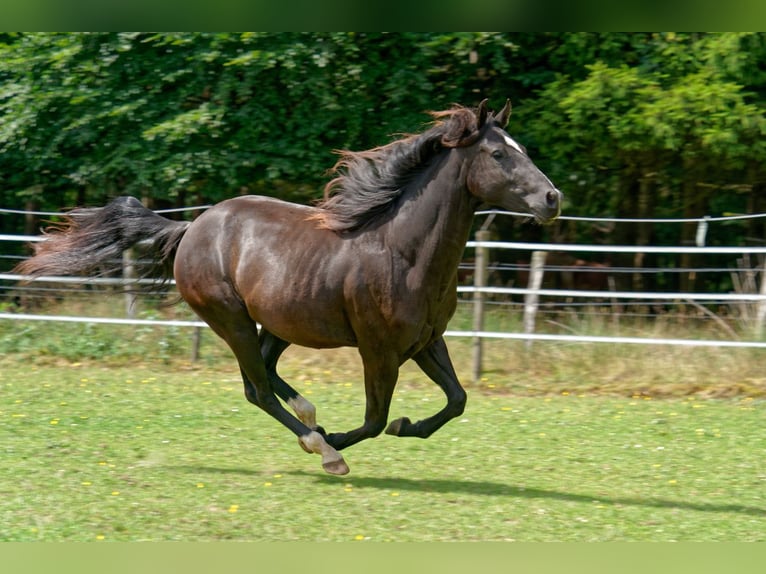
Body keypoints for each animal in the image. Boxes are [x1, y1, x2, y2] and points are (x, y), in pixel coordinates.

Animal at [16, 99, 561, 475]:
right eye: (497, 153)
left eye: (524, 151)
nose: (552, 198)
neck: (402, 252)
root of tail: (192, 227)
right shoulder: (378, 350)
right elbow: (373, 420)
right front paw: (336, 445)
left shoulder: (427, 341)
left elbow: (456, 400)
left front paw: (407, 427)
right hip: (229, 318)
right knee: (256, 387)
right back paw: (319, 444)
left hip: (279, 321)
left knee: (266, 370)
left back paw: (309, 415)